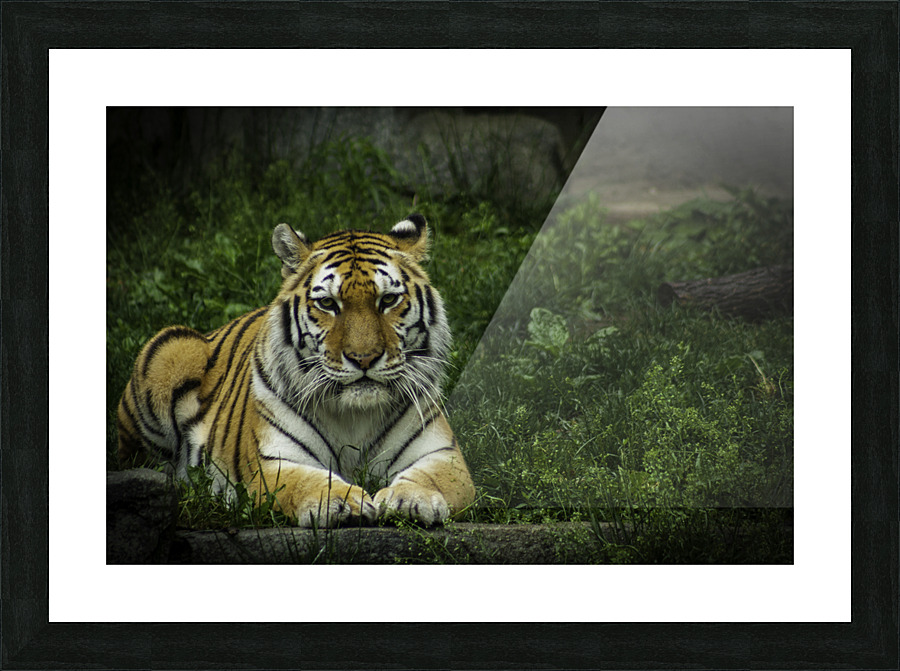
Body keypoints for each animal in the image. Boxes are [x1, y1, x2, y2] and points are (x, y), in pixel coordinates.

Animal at [116, 214, 475, 528]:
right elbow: (307, 481)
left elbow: (429, 478)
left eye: (387, 300)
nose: (363, 358)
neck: (355, 414)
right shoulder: (272, 461)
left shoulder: (443, 455)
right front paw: (341, 502)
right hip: (171, 348)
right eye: (328, 304)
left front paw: (412, 500)